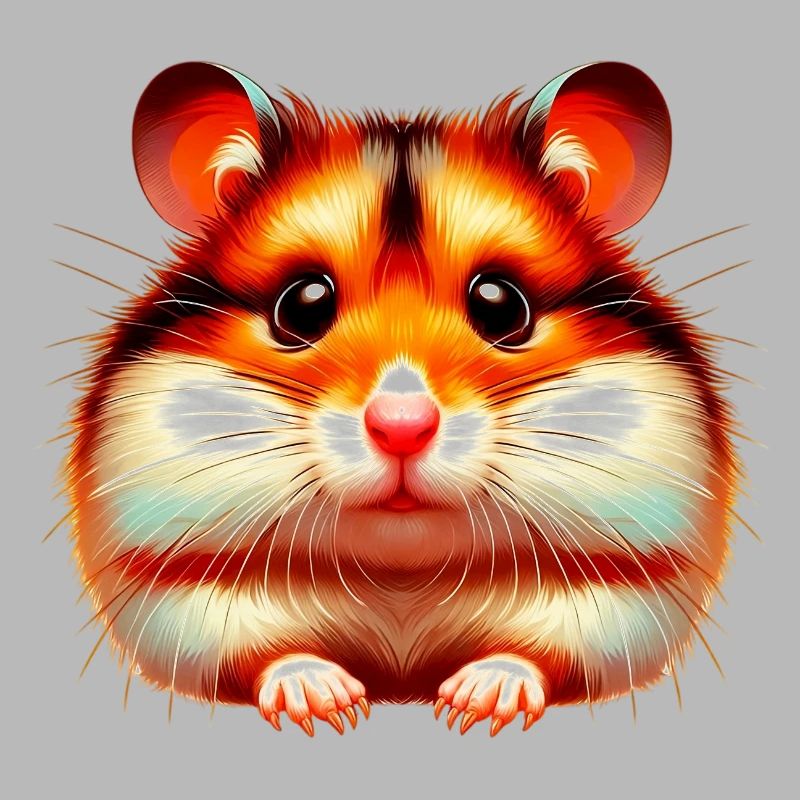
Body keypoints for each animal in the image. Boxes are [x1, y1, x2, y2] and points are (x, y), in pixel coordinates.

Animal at [62, 61, 739, 737]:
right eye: (301, 305)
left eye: (502, 304)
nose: (402, 428)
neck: (401, 579)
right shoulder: (173, 593)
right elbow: (264, 654)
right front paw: (331, 704)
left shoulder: (630, 594)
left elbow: (540, 655)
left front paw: (471, 704)